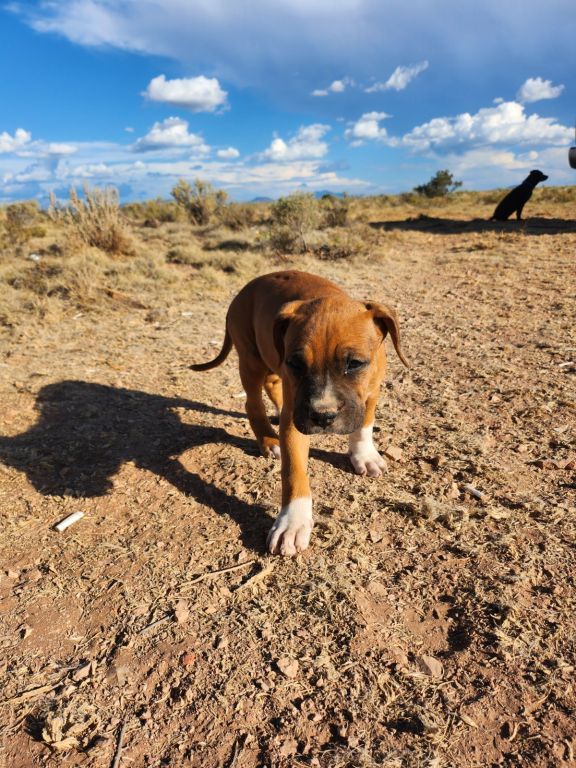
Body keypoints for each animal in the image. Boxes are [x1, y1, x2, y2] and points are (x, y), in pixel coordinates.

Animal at [191, 272, 408, 560]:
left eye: (354, 364)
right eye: (297, 364)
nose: (323, 417)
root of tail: (244, 290)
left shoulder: (371, 393)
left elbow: (364, 426)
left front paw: (364, 455)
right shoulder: (295, 421)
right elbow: (294, 471)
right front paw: (292, 523)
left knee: (272, 385)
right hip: (251, 359)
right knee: (252, 403)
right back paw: (269, 440)